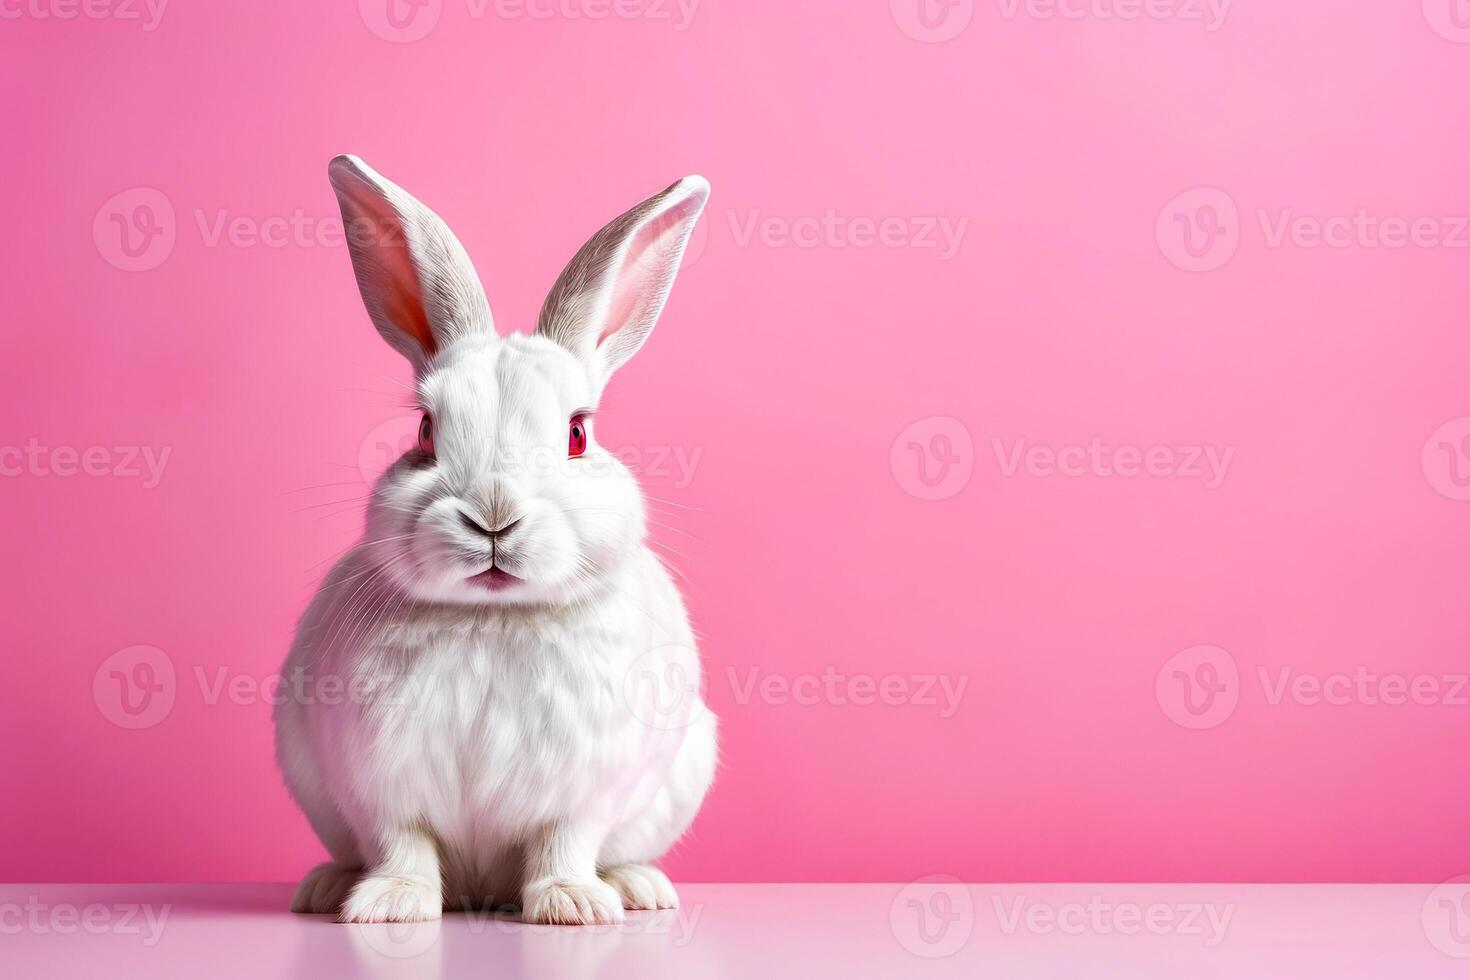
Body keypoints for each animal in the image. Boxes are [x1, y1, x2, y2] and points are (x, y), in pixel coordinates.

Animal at [276, 155, 717, 928]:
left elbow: (562, 842)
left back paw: (636, 888)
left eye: (578, 434)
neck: (493, 615)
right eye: (425, 431)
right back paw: (327, 888)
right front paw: (391, 905)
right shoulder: (380, 786)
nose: (493, 514)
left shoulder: (582, 791)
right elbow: (403, 844)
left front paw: (572, 904)